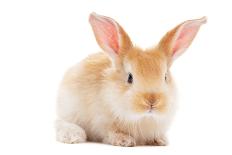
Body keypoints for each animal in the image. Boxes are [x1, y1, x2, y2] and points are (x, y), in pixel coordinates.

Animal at [55, 12, 207, 147]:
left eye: (165, 77)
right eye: (130, 77)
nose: (151, 102)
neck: (143, 118)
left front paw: (160, 140)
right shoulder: (103, 123)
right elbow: (111, 132)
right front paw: (124, 141)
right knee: (59, 123)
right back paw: (73, 136)